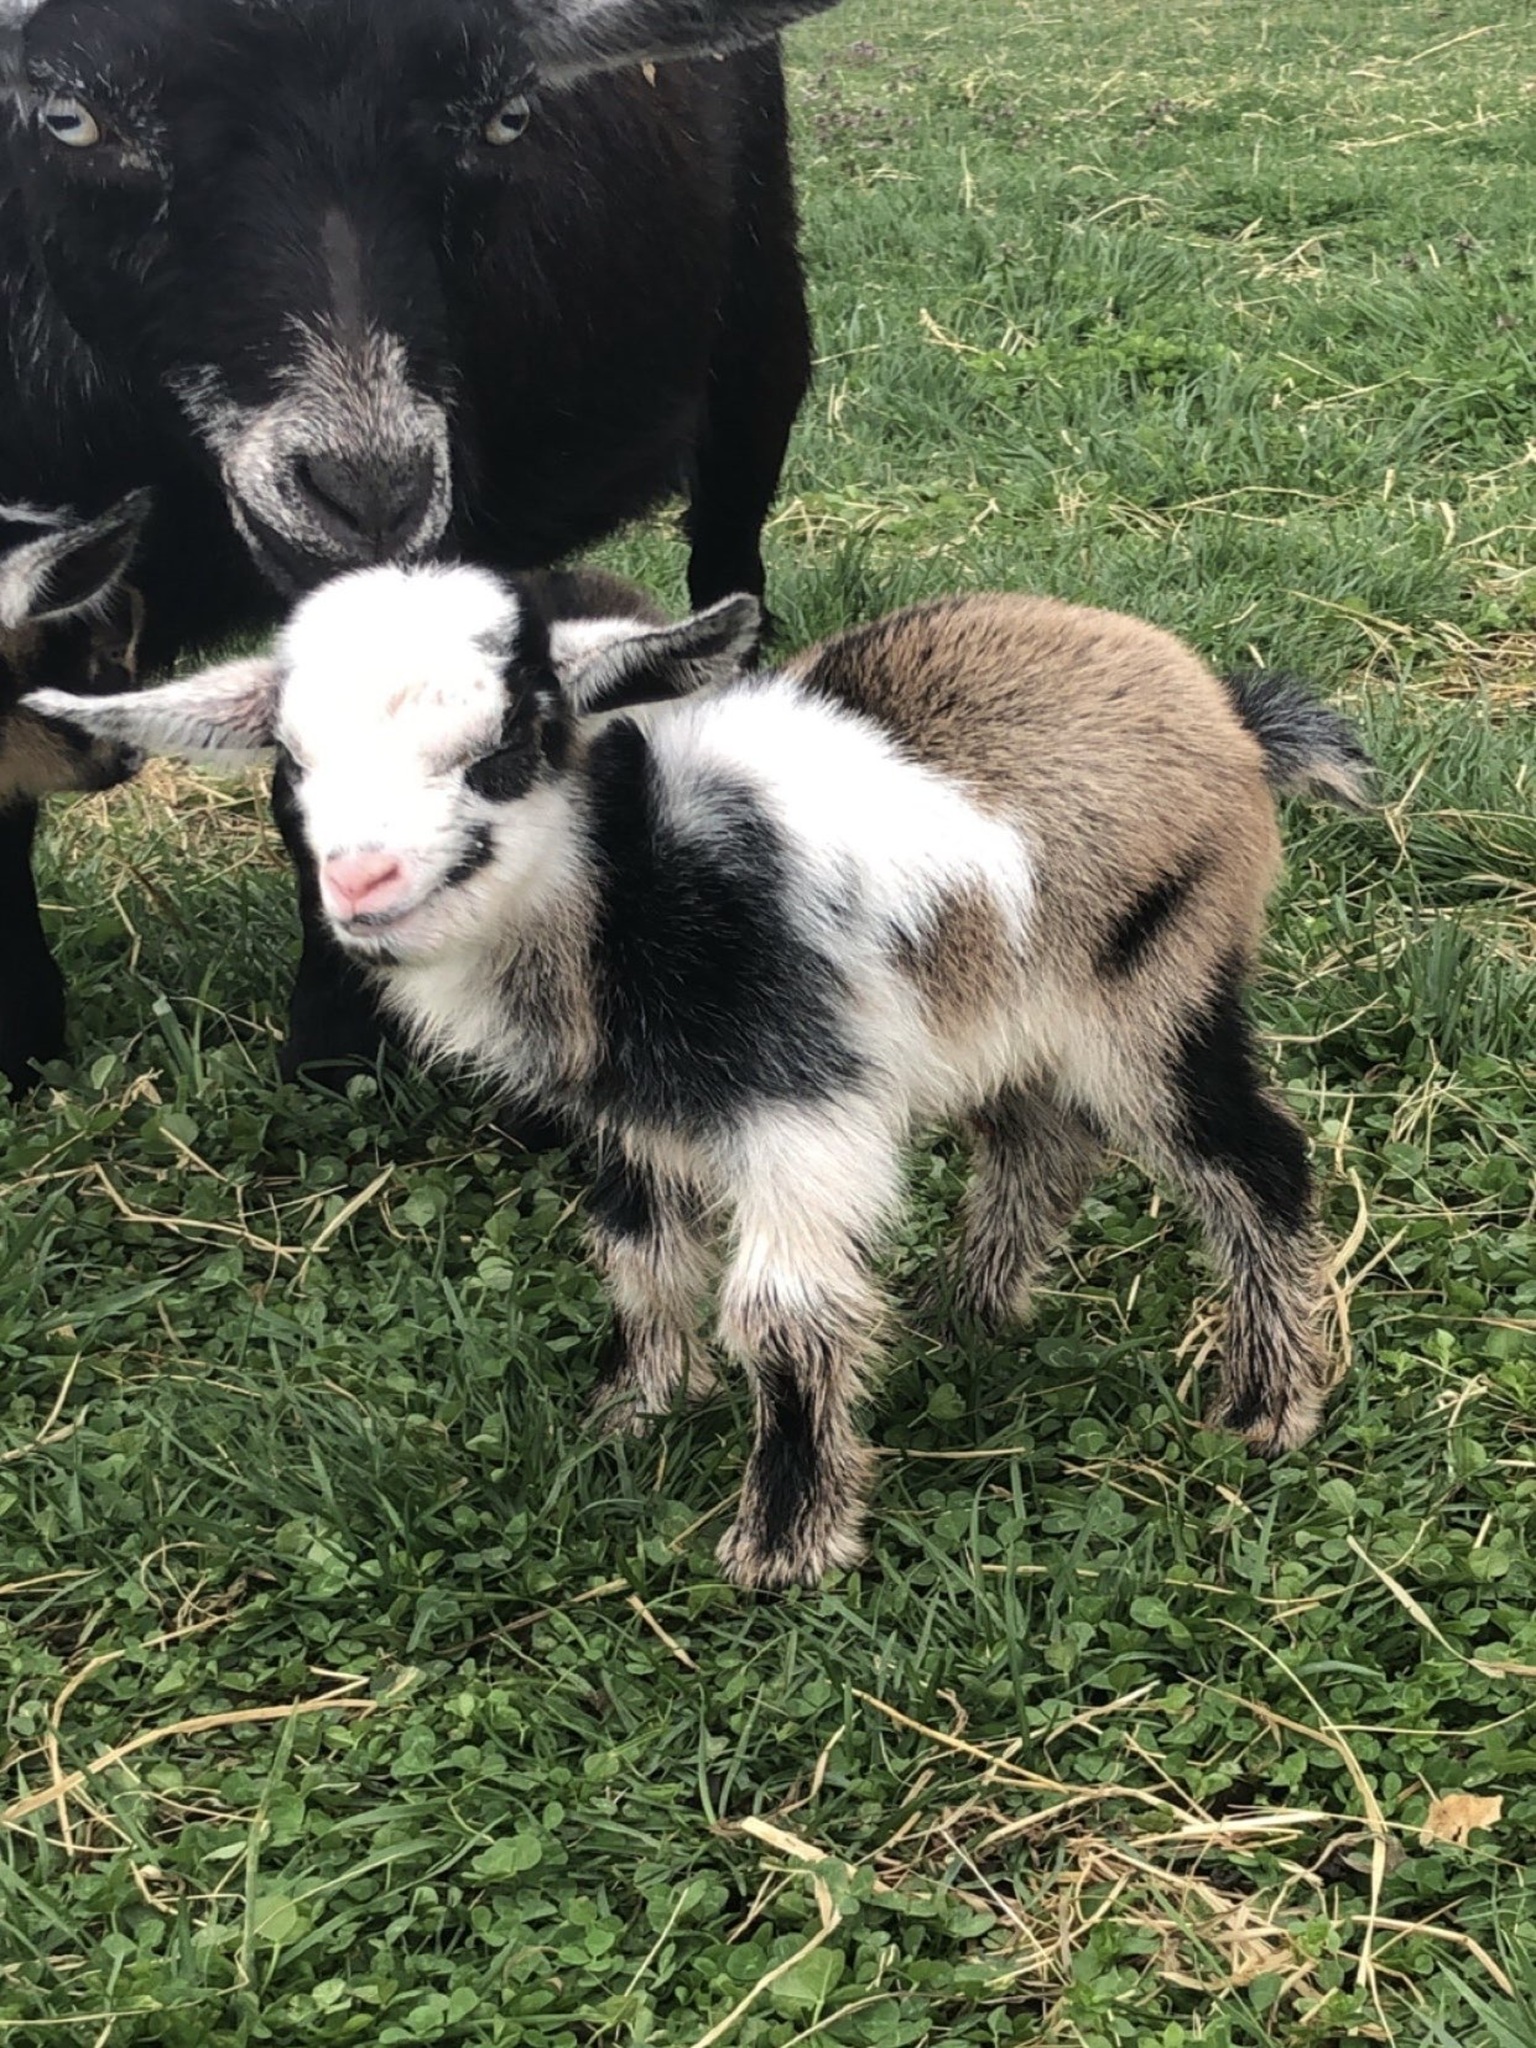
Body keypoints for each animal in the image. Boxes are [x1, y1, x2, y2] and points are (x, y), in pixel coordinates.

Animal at [1, 0, 838, 1076]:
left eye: (506, 120)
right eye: (71, 120)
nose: (371, 492)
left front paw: (336, 1045)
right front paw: (23, 1040)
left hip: (757, 316)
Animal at [28, 570, 1372, 1588]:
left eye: (511, 744)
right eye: (292, 760)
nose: (361, 883)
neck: (635, 890)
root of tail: (1223, 708)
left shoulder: (803, 1106)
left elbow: (782, 1313)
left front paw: (784, 1542)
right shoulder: (632, 1120)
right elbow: (636, 1252)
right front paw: (633, 1409)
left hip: (1153, 980)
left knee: (1249, 1160)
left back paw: (1265, 1403)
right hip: (1002, 1001)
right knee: (1042, 1142)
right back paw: (968, 1311)